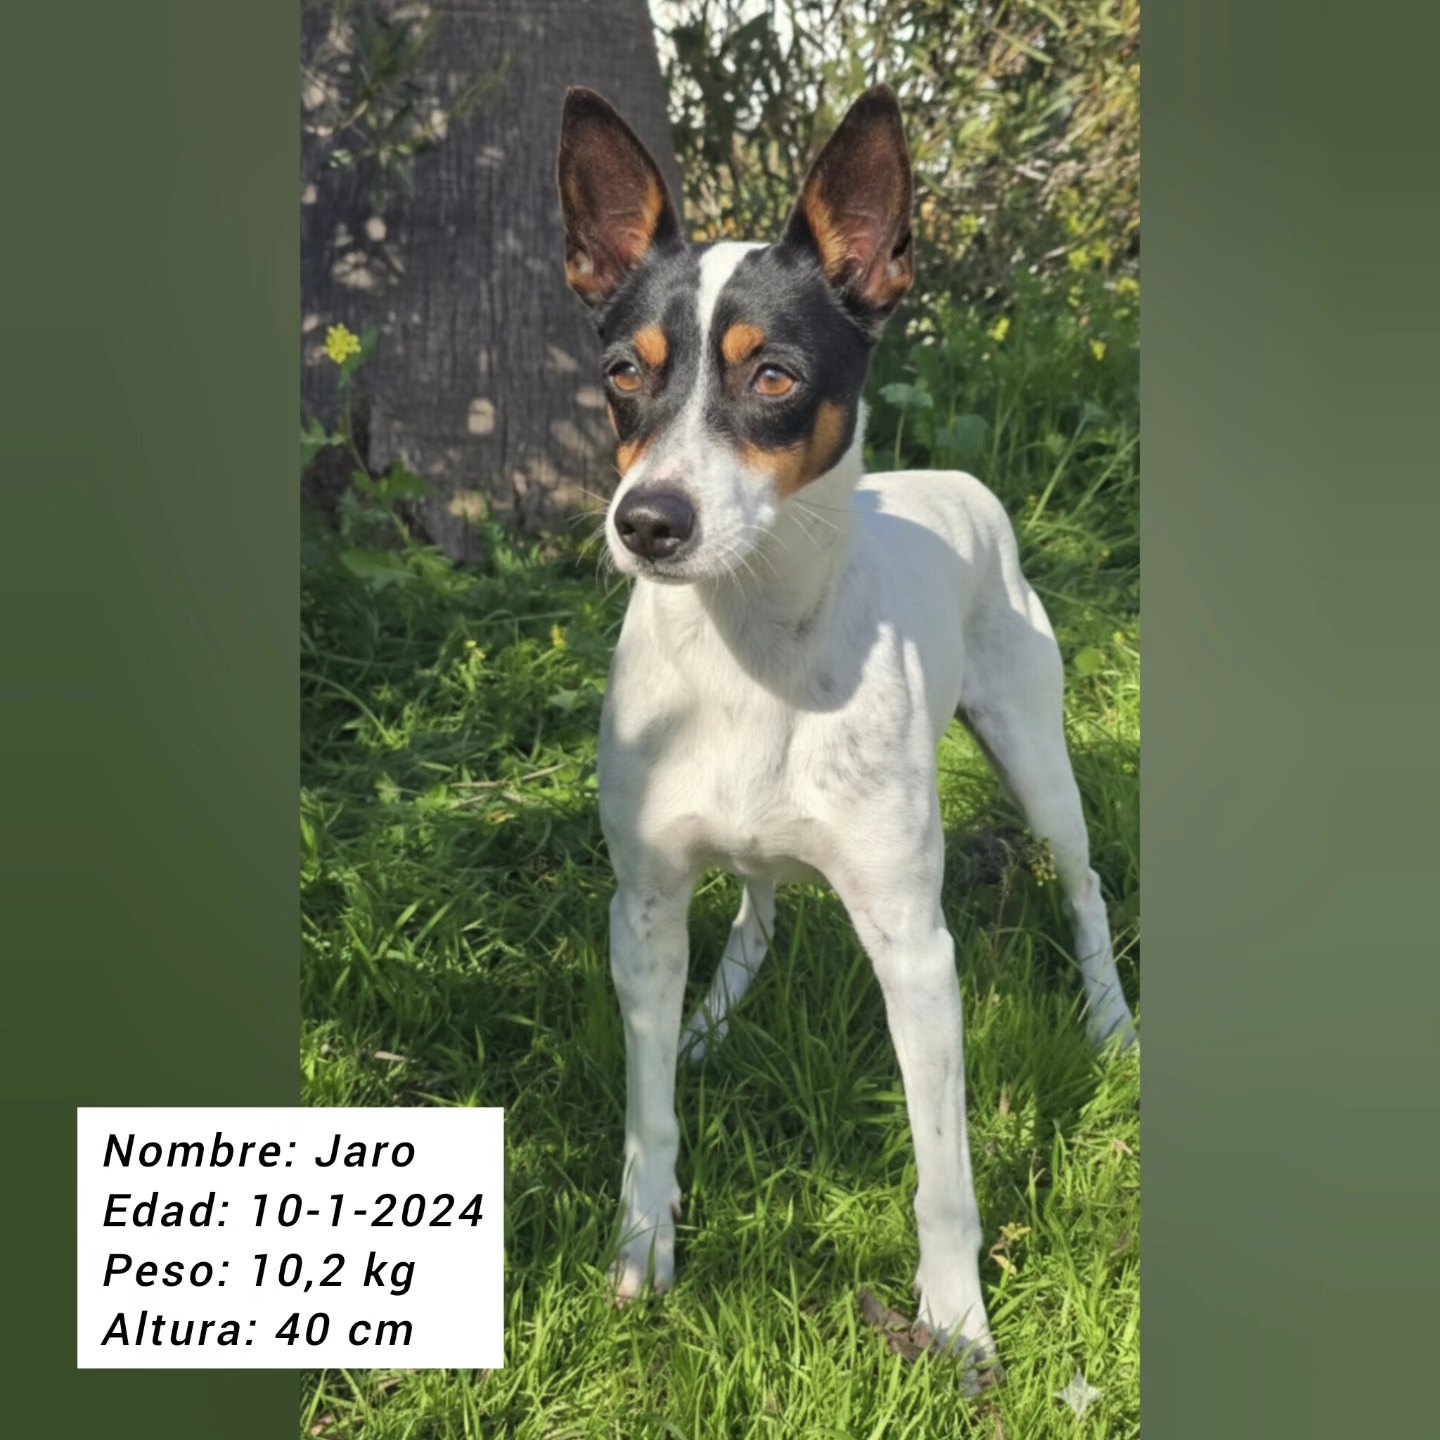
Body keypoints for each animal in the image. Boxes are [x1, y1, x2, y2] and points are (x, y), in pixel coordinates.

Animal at [556, 83, 1136, 1376]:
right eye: (623, 371)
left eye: (774, 376)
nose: (646, 522)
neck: (750, 648)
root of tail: (951, 482)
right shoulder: (642, 905)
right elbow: (647, 1114)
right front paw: (643, 1248)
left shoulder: (916, 949)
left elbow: (944, 1176)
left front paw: (958, 1326)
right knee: (759, 911)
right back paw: (710, 1017)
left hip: (1038, 759)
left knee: (1083, 886)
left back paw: (1112, 1021)